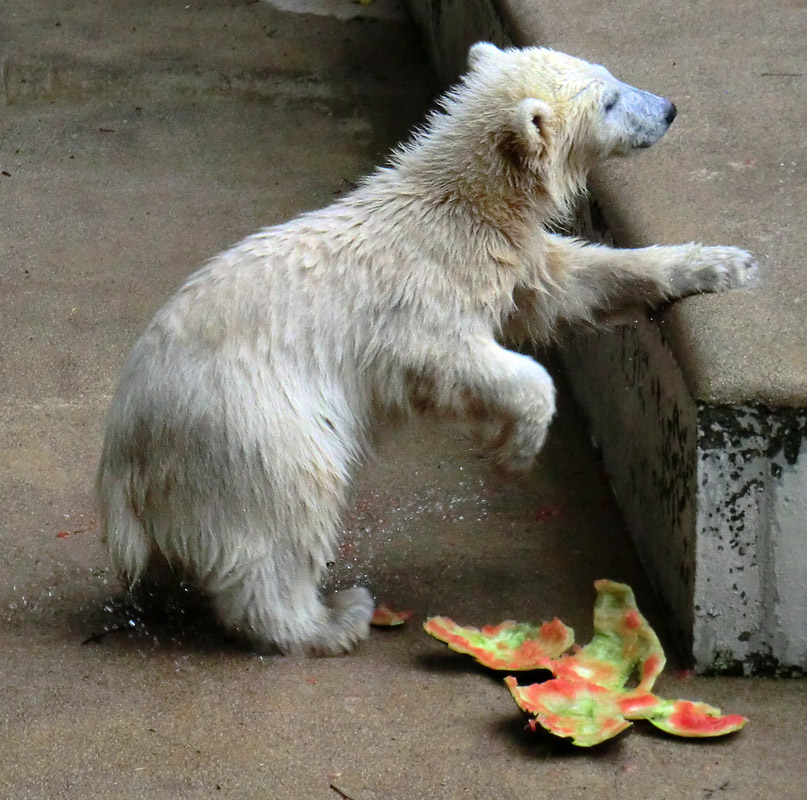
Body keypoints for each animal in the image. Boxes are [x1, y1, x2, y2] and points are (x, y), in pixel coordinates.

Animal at [96, 43, 756, 652]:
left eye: (610, 76)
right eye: (610, 100)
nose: (669, 109)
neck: (456, 207)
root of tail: (124, 463)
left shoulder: (511, 257)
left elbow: (571, 283)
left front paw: (726, 264)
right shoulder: (419, 295)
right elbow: (455, 361)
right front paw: (514, 452)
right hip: (249, 425)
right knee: (291, 504)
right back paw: (331, 620)